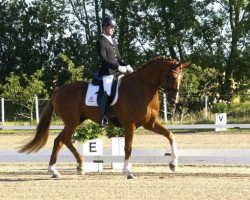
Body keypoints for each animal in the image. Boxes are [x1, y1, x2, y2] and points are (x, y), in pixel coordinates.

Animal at [19, 56, 189, 178]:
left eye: (181, 78)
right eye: (174, 76)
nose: (174, 100)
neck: (143, 88)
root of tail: (58, 90)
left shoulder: (150, 123)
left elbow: (170, 135)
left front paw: (173, 164)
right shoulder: (130, 125)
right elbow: (128, 147)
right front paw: (127, 171)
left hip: (76, 120)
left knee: (61, 140)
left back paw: (64, 169)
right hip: (72, 121)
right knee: (63, 139)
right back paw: (68, 168)